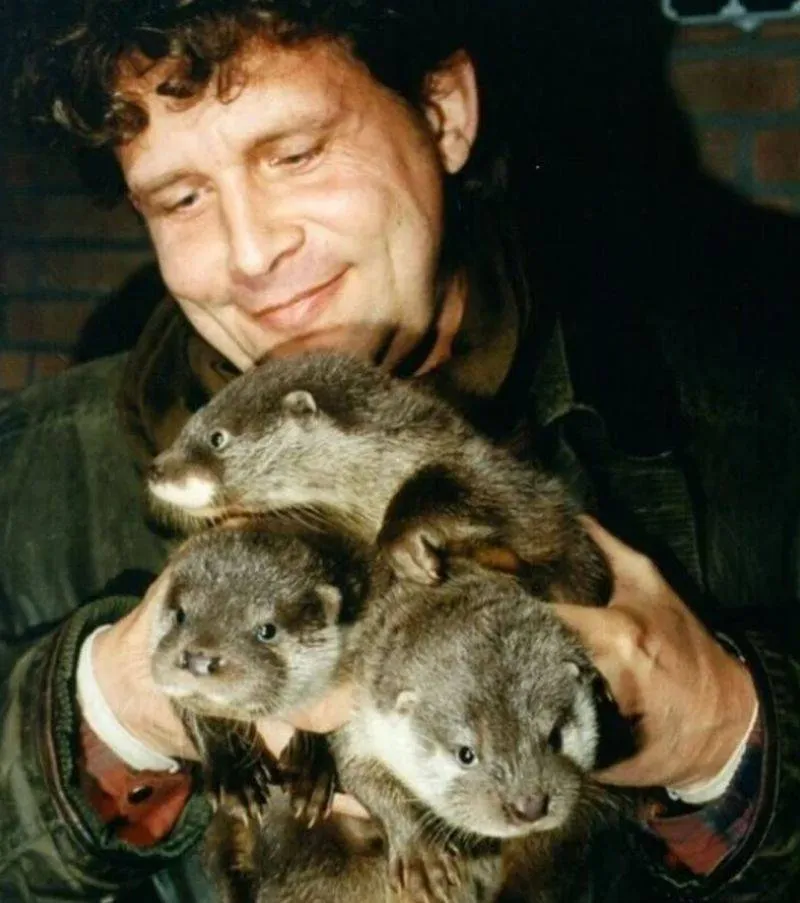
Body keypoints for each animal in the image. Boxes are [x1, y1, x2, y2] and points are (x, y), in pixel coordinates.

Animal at [146, 352, 609, 604]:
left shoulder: (509, 481)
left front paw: (404, 542)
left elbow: (477, 487)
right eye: (187, 426)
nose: (155, 468)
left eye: (217, 437)